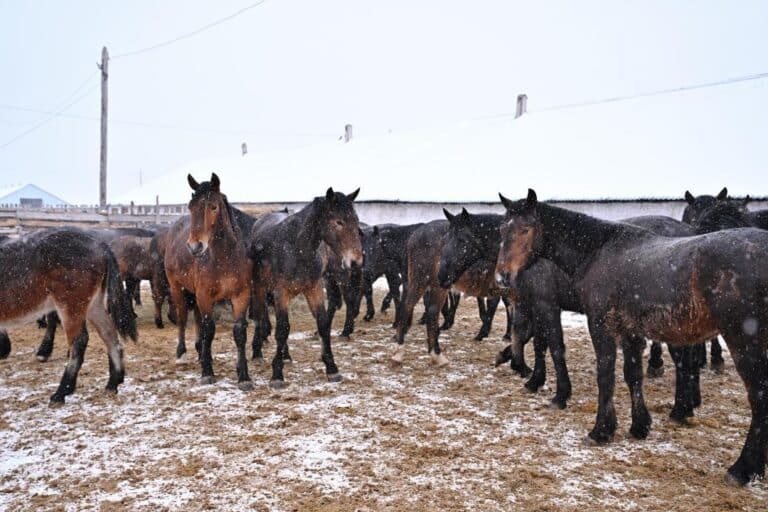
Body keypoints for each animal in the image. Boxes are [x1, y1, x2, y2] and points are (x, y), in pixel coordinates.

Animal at [0, 228, 136, 404]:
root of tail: (100, 245)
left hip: (70, 306)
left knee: (79, 341)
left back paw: (61, 392)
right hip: (93, 305)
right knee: (109, 335)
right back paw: (112, 383)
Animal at [164, 172, 254, 388]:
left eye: (213, 207)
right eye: (191, 207)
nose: (194, 246)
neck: (225, 258)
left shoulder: (241, 295)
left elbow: (239, 332)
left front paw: (244, 376)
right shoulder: (205, 295)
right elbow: (209, 329)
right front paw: (207, 373)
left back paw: (201, 352)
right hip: (177, 288)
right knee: (182, 318)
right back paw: (182, 354)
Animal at [249, 188, 364, 388]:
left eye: (356, 221)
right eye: (338, 222)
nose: (356, 262)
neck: (297, 248)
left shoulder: (314, 289)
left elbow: (323, 324)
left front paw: (332, 368)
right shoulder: (281, 293)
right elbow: (282, 328)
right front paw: (277, 374)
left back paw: (285, 354)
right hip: (260, 288)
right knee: (260, 316)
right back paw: (257, 352)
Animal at [496, 190, 768, 486]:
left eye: (525, 229)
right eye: (502, 230)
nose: (502, 276)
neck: (598, 250)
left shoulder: (592, 322)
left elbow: (599, 373)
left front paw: (599, 428)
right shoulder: (630, 331)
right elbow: (632, 375)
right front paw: (639, 426)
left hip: (743, 341)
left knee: (757, 396)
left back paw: (741, 468)